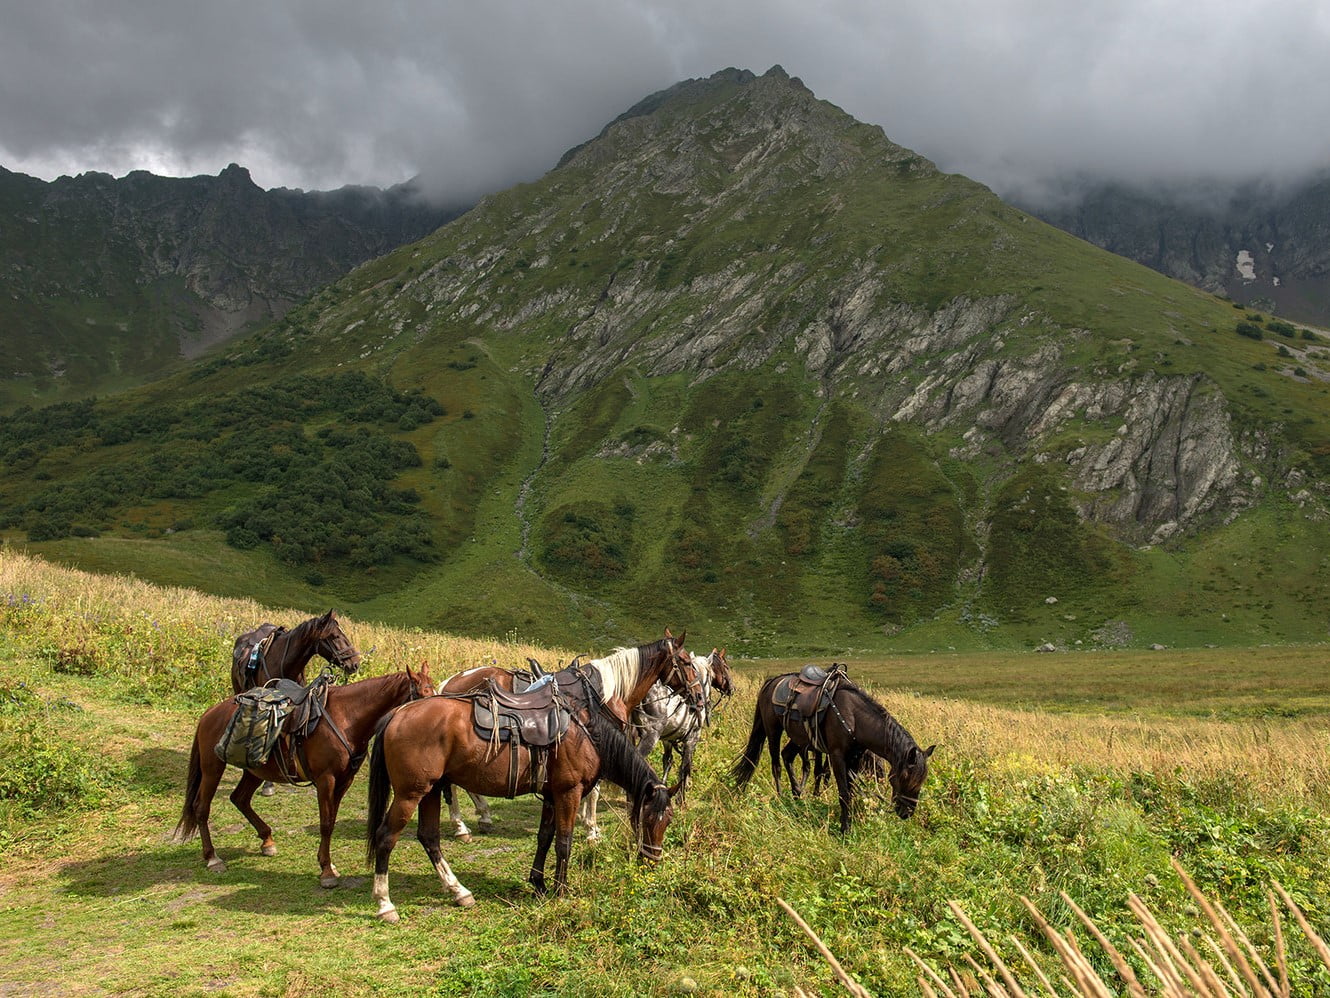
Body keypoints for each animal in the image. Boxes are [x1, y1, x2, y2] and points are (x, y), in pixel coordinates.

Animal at [176, 665, 433, 888]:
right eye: (422, 693)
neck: (347, 717)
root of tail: (208, 714)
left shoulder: (344, 780)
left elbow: (331, 821)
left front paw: (327, 864)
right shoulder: (326, 779)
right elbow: (326, 823)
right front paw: (327, 871)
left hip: (255, 770)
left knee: (239, 799)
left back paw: (267, 840)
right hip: (212, 768)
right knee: (201, 807)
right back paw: (212, 857)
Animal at [364, 681, 675, 920]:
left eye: (668, 821)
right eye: (648, 819)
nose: (652, 861)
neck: (588, 735)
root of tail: (398, 714)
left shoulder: (551, 796)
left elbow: (544, 838)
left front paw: (539, 884)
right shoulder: (569, 793)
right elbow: (564, 842)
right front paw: (561, 890)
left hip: (429, 791)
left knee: (429, 837)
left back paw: (459, 891)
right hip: (410, 794)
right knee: (386, 837)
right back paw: (385, 904)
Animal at [728, 673, 936, 835]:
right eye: (905, 777)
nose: (907, 812)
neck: (855, 719)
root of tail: (773, 681)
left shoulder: (854, 759)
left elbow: (850, 791)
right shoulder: (837, 757)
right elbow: (844, 794)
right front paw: (845, 830)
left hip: (799, 738)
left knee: (787, 756)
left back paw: (797, 796)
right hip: (773, 730)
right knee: (776, 764)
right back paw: (781, 797)